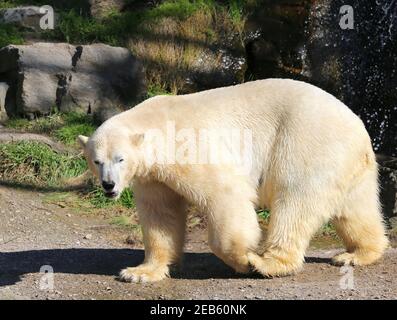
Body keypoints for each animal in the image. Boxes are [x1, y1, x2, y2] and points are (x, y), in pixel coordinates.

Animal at [77, 79, 386, 282]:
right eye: (97, 161)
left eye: (120, 159)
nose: (109, 185)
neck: (160, 123)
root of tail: (359, 127)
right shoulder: (153, 177)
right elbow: (160, 216)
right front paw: (140, 272)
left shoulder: (190, 145)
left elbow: (224, 195)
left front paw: (243, 260)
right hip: (348, 163)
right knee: (355, 209)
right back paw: (357, 253)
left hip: (306, 142)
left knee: (296, 202)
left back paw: (268, 263)